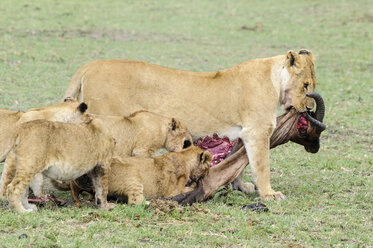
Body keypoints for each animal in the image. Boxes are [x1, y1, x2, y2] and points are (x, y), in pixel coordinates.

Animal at [64, 50, 316, 200]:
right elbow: (260, 166)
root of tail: (89, 66)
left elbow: (240, 163)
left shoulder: (243, 133)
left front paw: (241, 187)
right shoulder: (257, 132)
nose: (308, 108)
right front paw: (269, 194)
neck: (275, 81)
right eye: (306, 85)